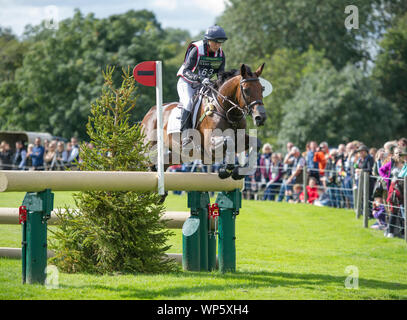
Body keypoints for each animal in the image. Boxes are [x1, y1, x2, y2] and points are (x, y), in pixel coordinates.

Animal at [140, 63, 268, 180]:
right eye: (246, 90)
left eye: (262, 89)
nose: (261, 117)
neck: (226, 111)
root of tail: (149, 114)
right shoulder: (209, 144)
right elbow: (228, 141)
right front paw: (225, 170)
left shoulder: (240, 137)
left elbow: (256, 142)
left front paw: (239, 172)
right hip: (148, 153)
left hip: (173, 155)